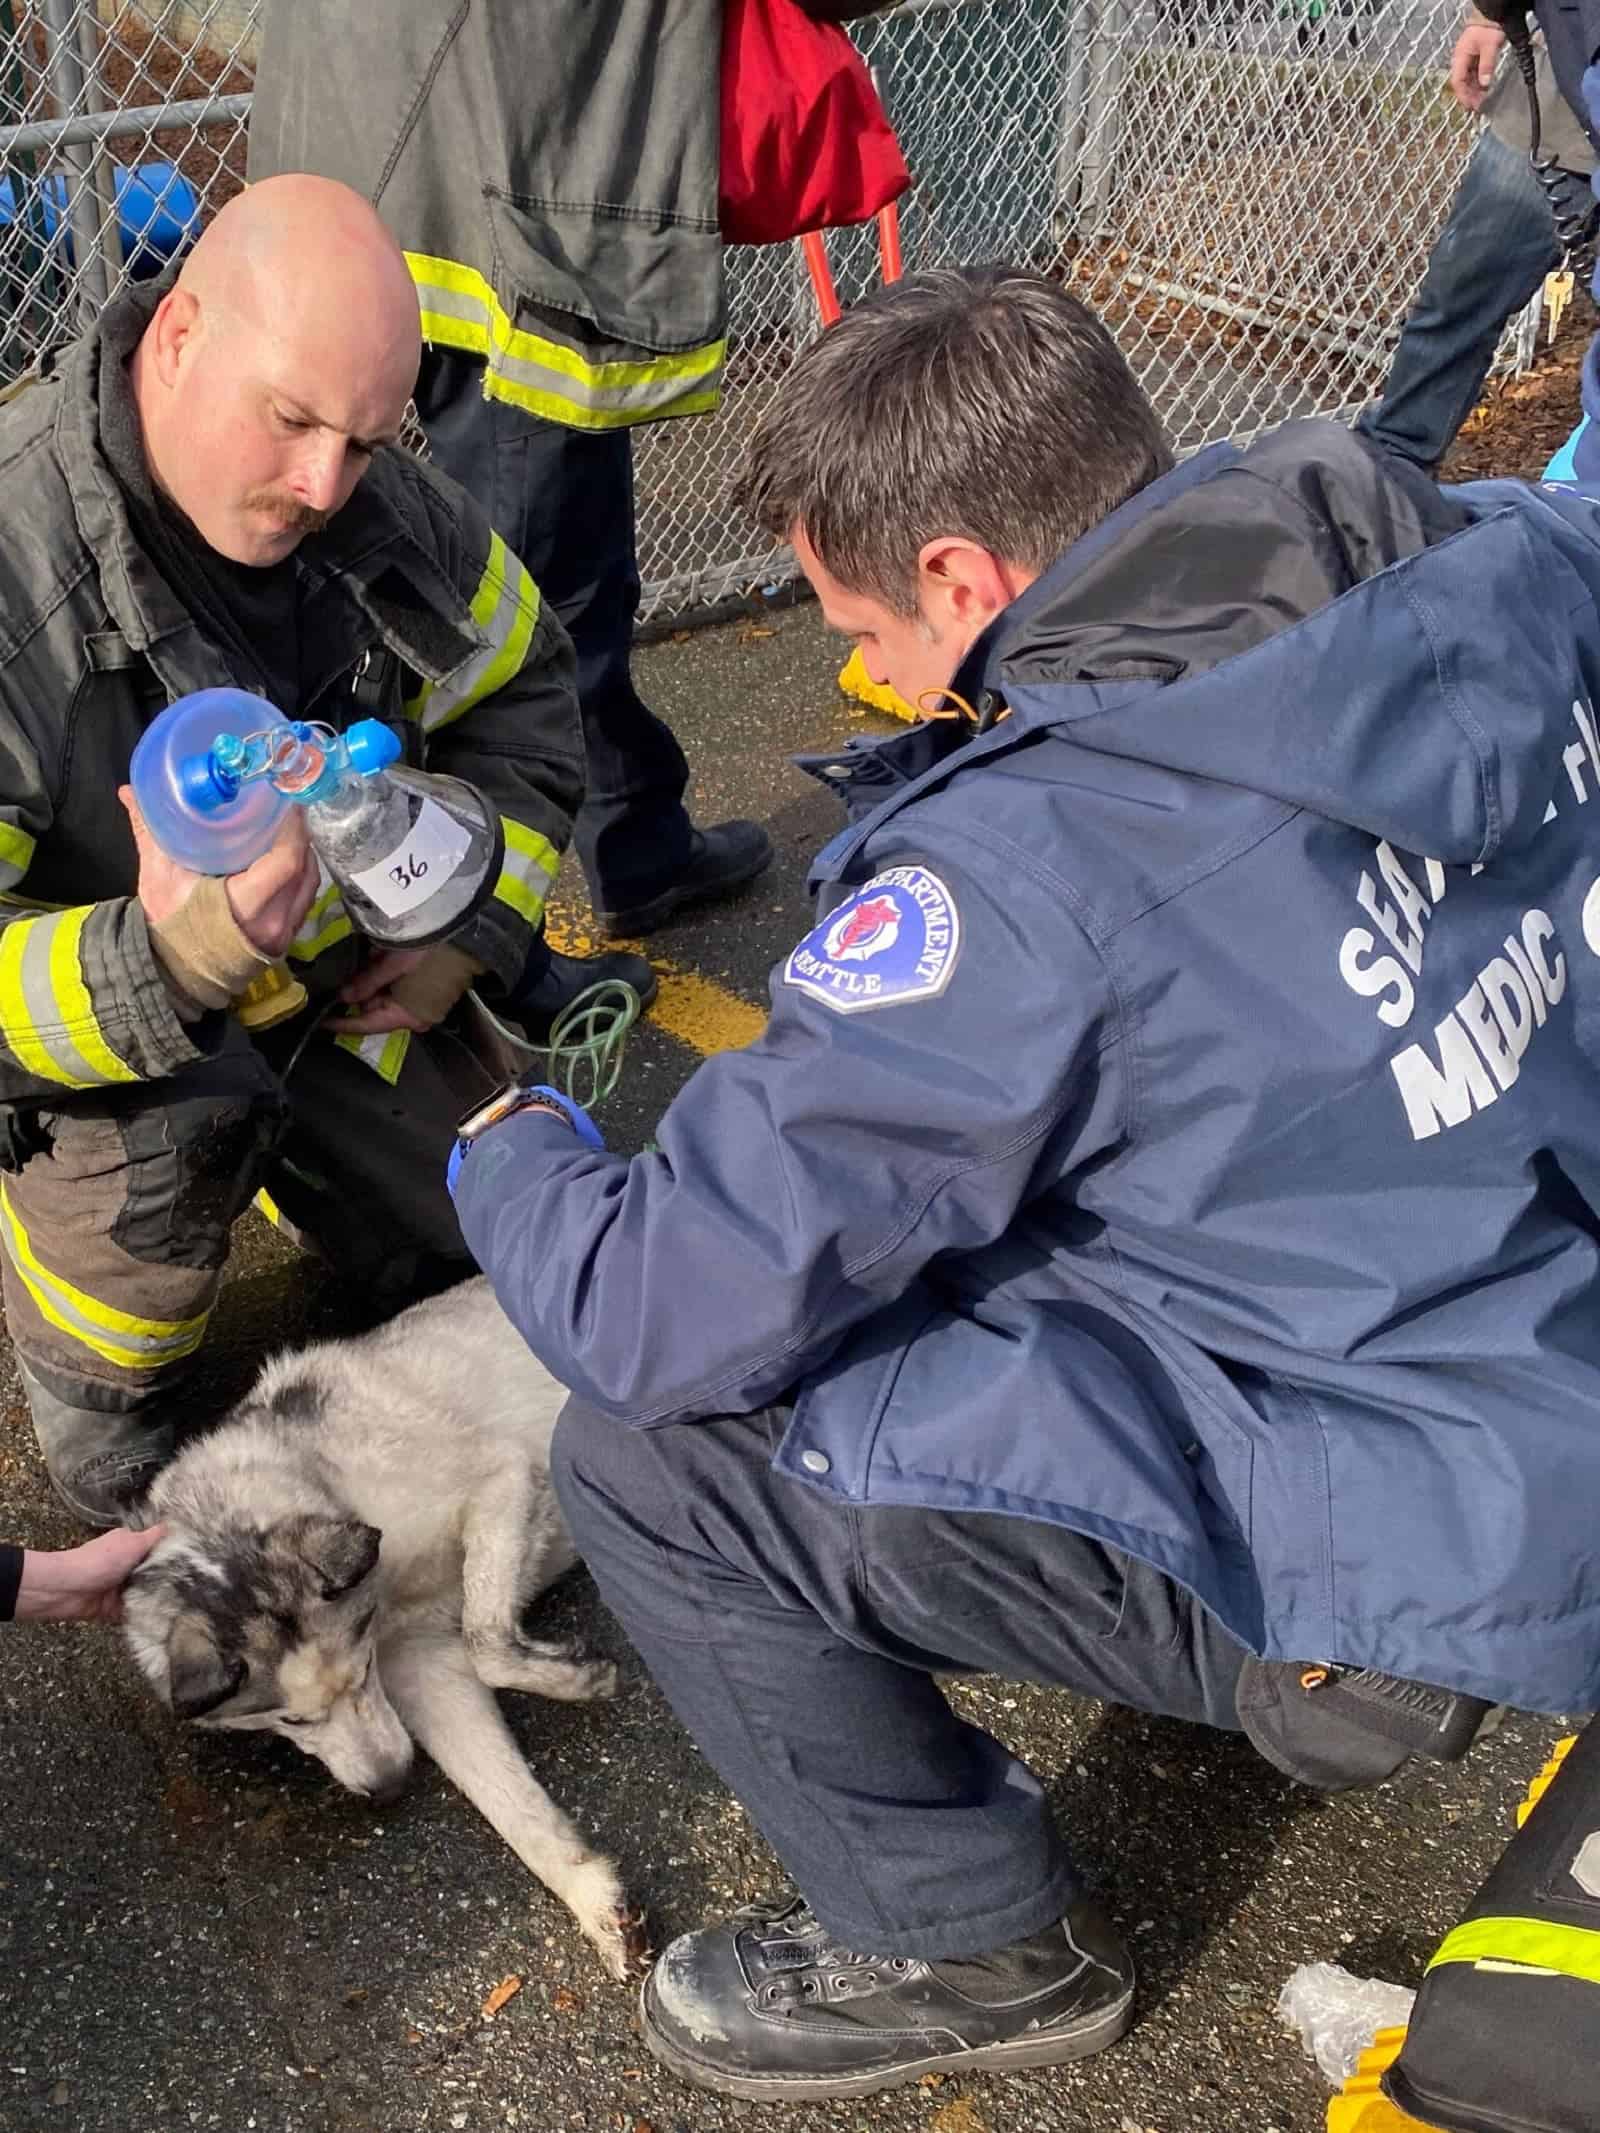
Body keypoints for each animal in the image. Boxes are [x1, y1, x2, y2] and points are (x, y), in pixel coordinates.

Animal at [123, 1262, 652, 1979]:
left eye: (363, 1671)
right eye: (290, 1721)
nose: (392, 1786)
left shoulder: (502, 1480)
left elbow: (489, 1642)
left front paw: (579, 1678)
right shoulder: (424, 1665)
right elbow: (514, 1806)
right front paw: (593, 1898)